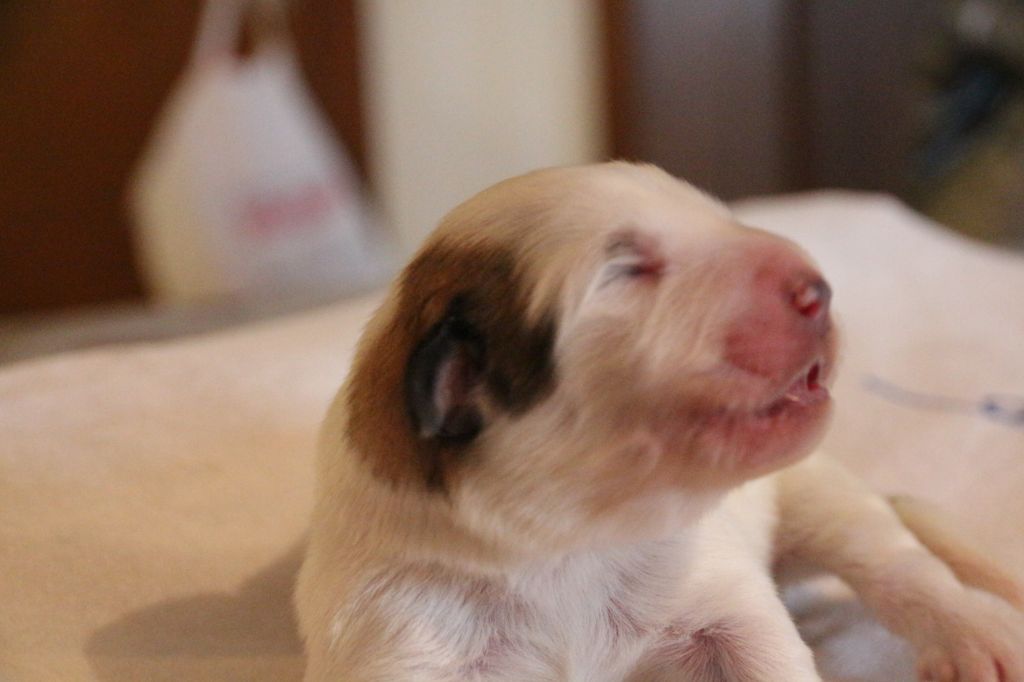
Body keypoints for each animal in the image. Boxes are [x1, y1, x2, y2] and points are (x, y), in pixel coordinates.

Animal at [296, 162, 1024, 681]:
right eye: (626, 269)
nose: (818, 289)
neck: (570, 543)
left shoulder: (726, 600)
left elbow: (767, 648)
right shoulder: (401, 637)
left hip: (821, 493)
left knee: (902, 567)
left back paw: (981, 639)